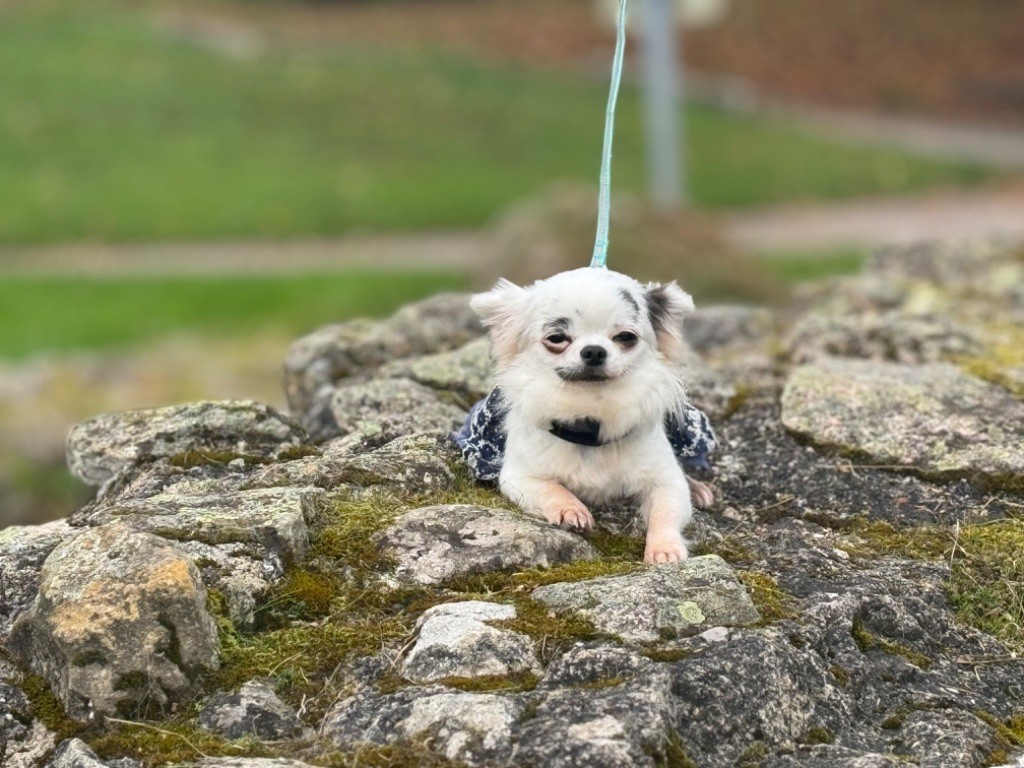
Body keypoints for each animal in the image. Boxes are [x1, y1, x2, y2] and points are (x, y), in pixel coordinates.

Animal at [468, 268, 712, 561]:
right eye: (556, 339)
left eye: (626, 337)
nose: (594, 350)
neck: (590, 411)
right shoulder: (518, 478)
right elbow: (551, 489)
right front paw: (570, 510)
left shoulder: (666, 480)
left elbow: (666, 510)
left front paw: (664, 549)